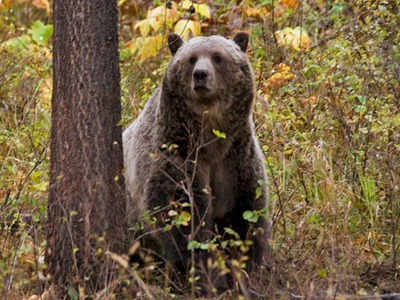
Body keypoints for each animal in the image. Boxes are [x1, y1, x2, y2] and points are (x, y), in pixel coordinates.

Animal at [123, 32, 270, 288]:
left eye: (218, 57)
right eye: (191, 58)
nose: (200, 74)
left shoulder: (237, 161)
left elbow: (246, 216)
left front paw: (245, 270)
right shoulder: (177, 157)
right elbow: (184, 219)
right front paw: (208, 276)